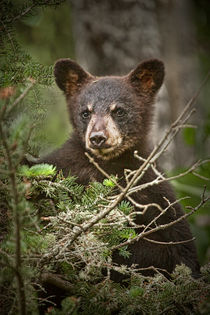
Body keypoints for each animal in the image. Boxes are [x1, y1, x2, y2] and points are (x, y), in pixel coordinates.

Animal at [34, 58, 200, 280]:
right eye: (85, 113)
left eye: (119, 111)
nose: (97, 138)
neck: (108, 165)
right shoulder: (65, 165)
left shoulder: (150, 187)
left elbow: (178, 236)